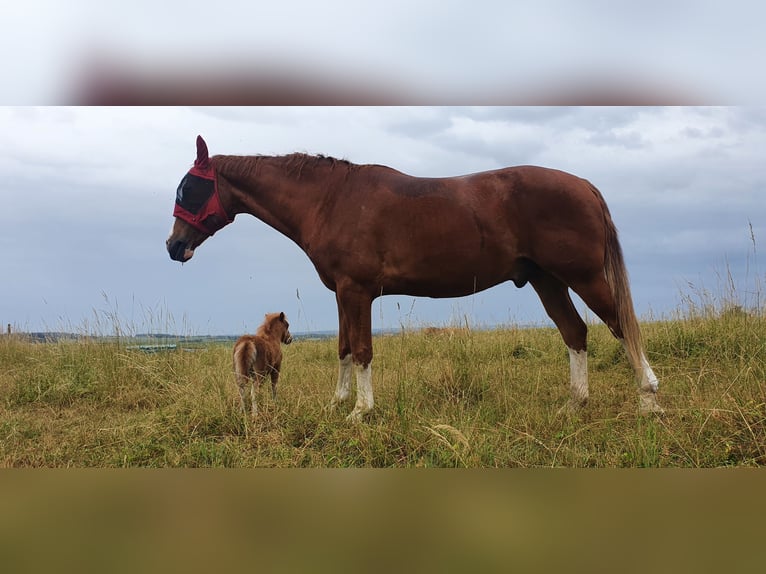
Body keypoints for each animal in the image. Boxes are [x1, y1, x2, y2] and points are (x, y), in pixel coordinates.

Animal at [168, 137, 664, 420]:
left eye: (188, 188)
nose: (174, 246)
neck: (330, 200)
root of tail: (585, 185)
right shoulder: (342, 293)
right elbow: (344, 348)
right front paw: (338, 403)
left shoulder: (358, 292)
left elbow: (363, 350)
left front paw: (361, 411)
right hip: (547, 281)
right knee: (575, 333)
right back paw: (575, 403)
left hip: (583, 277)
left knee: (621, 328)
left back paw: (649, 400)